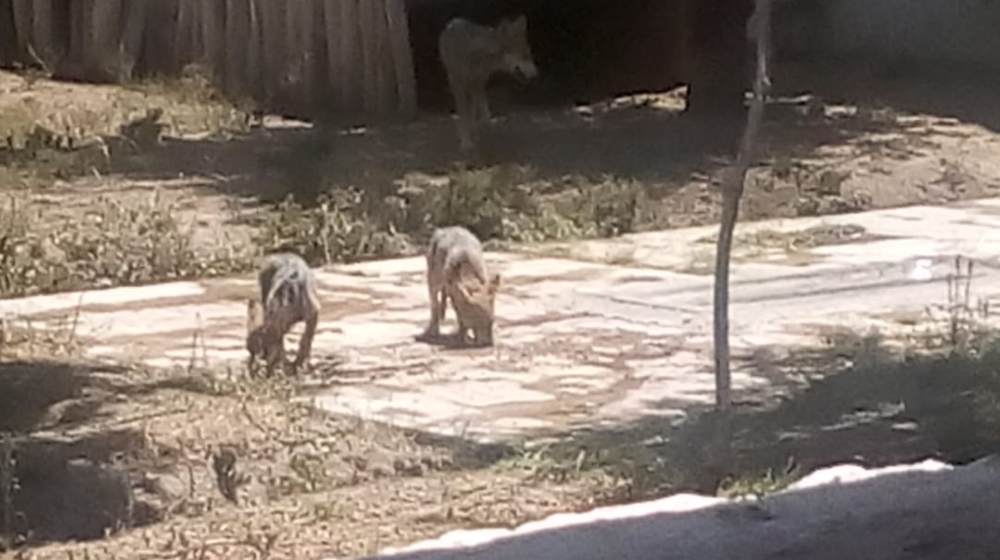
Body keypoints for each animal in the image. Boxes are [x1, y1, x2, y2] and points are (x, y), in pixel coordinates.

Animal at [436, 15, 536, 155]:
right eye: (524, 56)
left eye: (529, 54)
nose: (536, 73)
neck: (480, 55)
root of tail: (455, 21)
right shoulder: (458, 83)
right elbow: (464, 115)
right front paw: (466, 143)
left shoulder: (478, 82)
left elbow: (480, 112)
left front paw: (478, 130)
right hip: (461, 81)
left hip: (475, 85)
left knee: (474, 106)